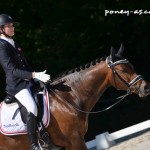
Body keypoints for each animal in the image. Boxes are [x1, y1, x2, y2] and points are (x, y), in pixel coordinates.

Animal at [0, 43, 150, 150]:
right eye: (123, 70)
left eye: (132, 66)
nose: (146, 87)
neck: (68, 98)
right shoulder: (76, 140)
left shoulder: (71, 143)